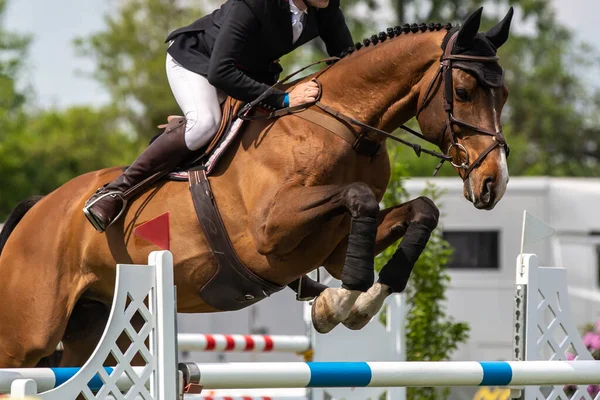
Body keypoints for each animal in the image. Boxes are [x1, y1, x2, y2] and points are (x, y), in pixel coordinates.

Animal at [1, 6, 516, 368]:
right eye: (464, 92)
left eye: (505, 94)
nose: (493, 184)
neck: (345, 129)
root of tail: (37, 209)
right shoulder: (272, 229)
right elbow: (359, 198)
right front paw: (339, 301)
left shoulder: (333, 245)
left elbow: (423, 210)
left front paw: (354, 301)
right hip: (27, 336)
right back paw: (104, 204)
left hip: (99, 325)